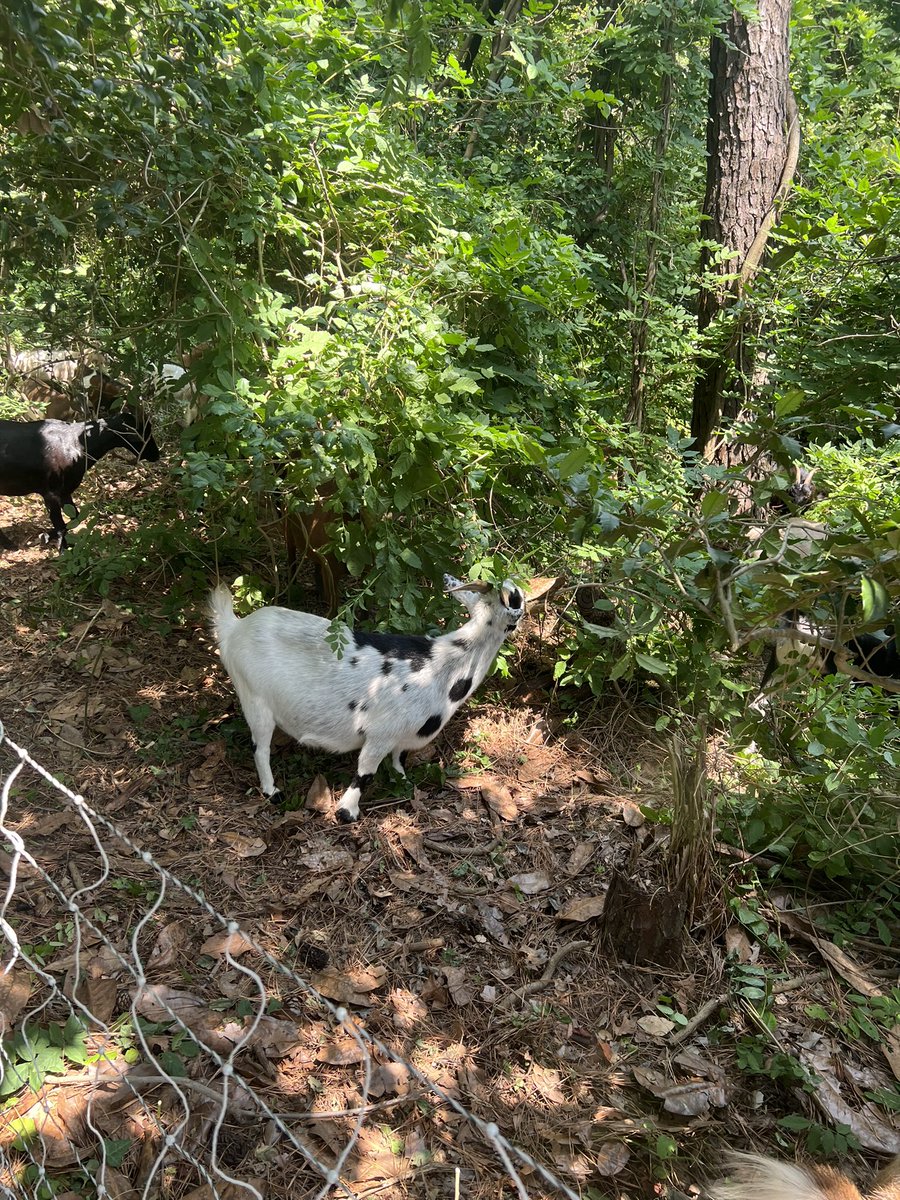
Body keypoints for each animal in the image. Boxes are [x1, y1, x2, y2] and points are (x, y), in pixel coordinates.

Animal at [0, 411, 160, 549]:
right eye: (144, 432)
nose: (157, 455)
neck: (77, 444)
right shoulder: (50, 492)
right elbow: (60, 524)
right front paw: (63, 549)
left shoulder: (65, 491)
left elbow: (75, 517)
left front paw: (48, 536)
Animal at [209, 575, 527, 822]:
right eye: (515, 599)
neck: (442, 665)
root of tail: (234, 628)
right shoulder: (380, 733)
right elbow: (366, 773)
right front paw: (346, 812)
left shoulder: (402, 736)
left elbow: (399, 757)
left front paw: (402, 780)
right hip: (254, 697)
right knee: (260, 748)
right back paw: (272, 791)